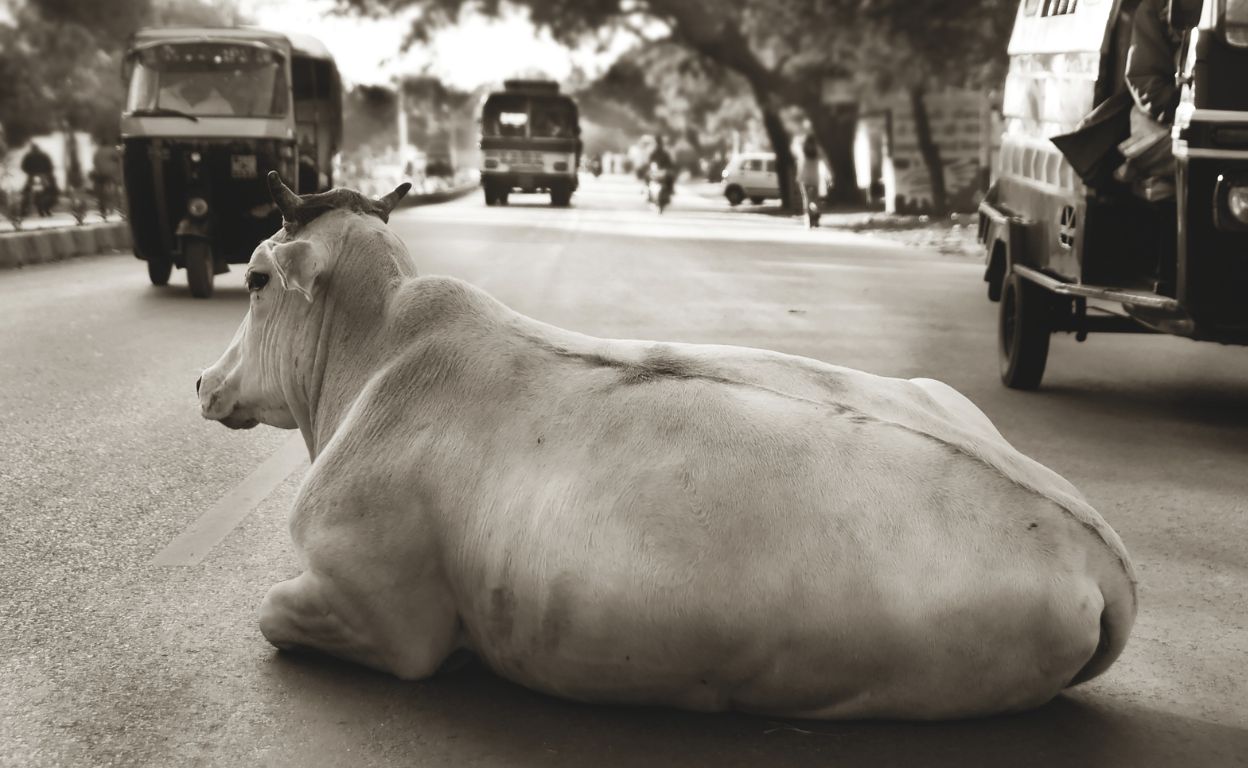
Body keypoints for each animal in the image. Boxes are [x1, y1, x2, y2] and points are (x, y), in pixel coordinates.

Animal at [197, 172, 1137, 721]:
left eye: (255, 279)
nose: (204, 382)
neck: (374, 357)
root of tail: (1103, 554)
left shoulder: (384, 616)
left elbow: (273, 615)